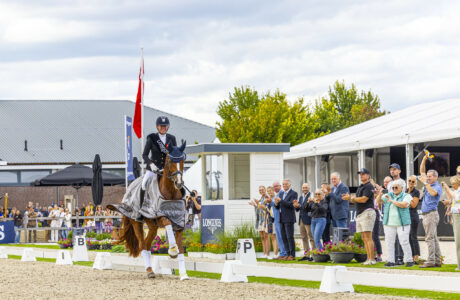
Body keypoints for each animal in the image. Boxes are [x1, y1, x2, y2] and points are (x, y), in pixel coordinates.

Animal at [108, 143, 187, 278]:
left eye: (182, 160)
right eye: (170, 161)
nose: (179, 183)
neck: (171, 194)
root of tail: (130, 187)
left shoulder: (179, 221)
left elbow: (181, 248)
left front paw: (184, 274)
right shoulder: (160, 216)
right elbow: (167, 223)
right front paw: (172, 250)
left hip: (153, 227)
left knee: (148, 243)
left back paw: (151, 269)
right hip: (137, 222)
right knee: (142, 244)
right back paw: (149, 271)